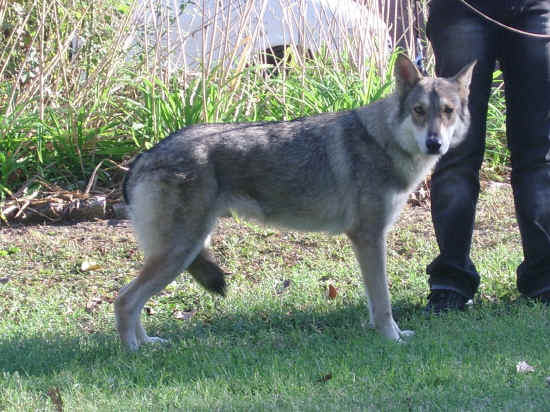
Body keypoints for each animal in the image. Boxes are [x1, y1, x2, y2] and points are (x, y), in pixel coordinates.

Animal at [115, 55, 474, 350]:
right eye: (419, 111)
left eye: (447, 112)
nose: (434, 144)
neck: (383, 141)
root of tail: (142, 158)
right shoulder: (368, 238)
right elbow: (383, 301)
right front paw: (392, 339)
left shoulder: (367, 241)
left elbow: (375, 302)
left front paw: (391, 334)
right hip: (180, 252)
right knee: (124, 300)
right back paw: (133, 351)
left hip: (181, 252)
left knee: (134, 301)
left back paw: (149, 344)